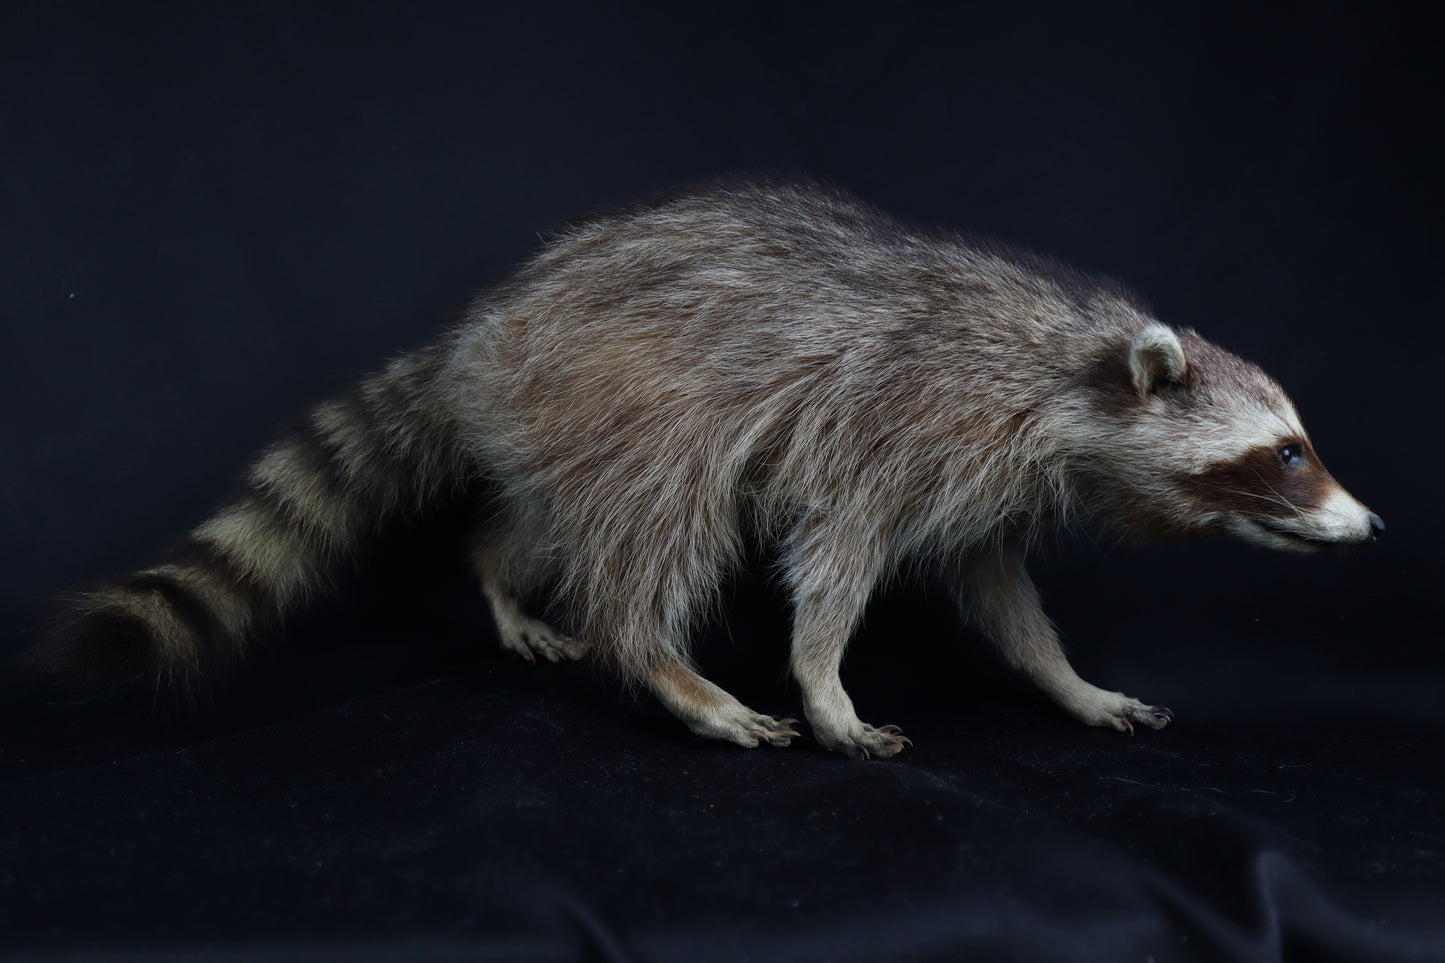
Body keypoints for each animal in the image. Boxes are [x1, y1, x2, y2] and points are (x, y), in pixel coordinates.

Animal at [36, 179, 1382, 759]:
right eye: (1286, 453)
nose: (1369, 529)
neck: (1073, 363)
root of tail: (487, 326)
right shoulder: (904, 422)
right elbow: (831, 563)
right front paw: (822, 683)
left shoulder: (982, 485)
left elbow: (1000, 594)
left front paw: (1066, 683)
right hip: (627, 386)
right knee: (653, 526)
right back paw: (662, 664)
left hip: (561, 419)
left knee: (550, 515)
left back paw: (498, 568)